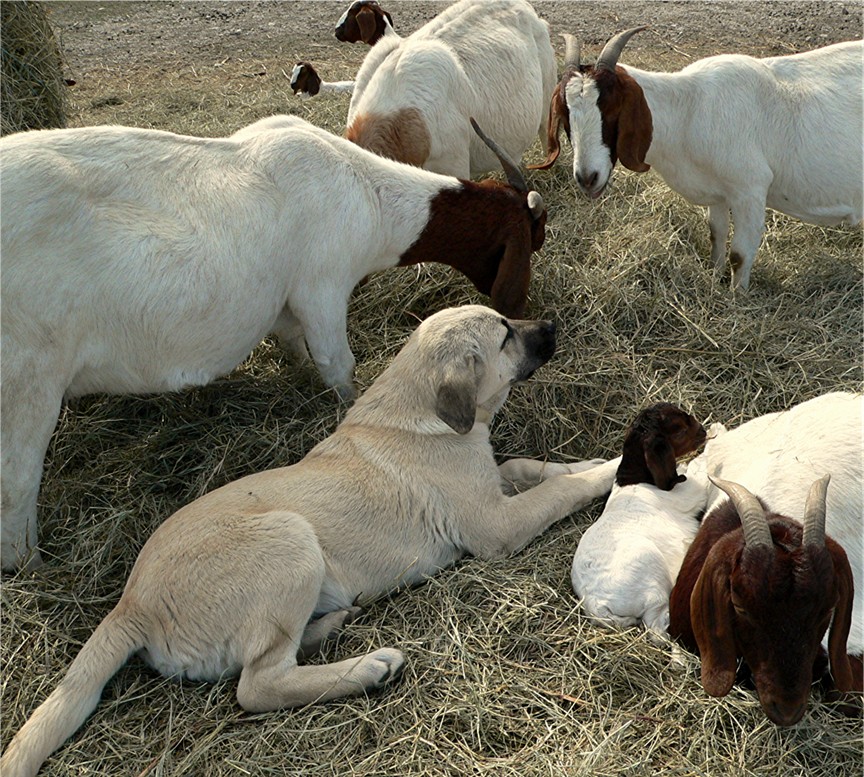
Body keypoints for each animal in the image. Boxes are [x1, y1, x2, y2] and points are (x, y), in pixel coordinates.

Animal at [0, 113, 548, 568]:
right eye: (533, 234)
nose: (530, 315)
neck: (364, 191)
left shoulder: (288, 309)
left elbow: (297, 352)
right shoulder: (321, 287)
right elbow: (337, 364)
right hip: (28, 376)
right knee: (16, 482)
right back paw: (32, 566)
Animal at [532, 27, 864, 290]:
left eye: (613, 111)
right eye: (565, 115)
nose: (587, 178)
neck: (689, 109)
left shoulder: (750, 189)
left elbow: (740, 254)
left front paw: (736, 299)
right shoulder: (718, 193)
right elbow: (716, 236)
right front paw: (714, 279)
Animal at [568, 404, 708, 632]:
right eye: (679, 431)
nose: (703, 431)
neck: (637, 477)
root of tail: (596, 603)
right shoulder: (691, 492)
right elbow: (700, 468)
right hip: (652, 577)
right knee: (655, 626)